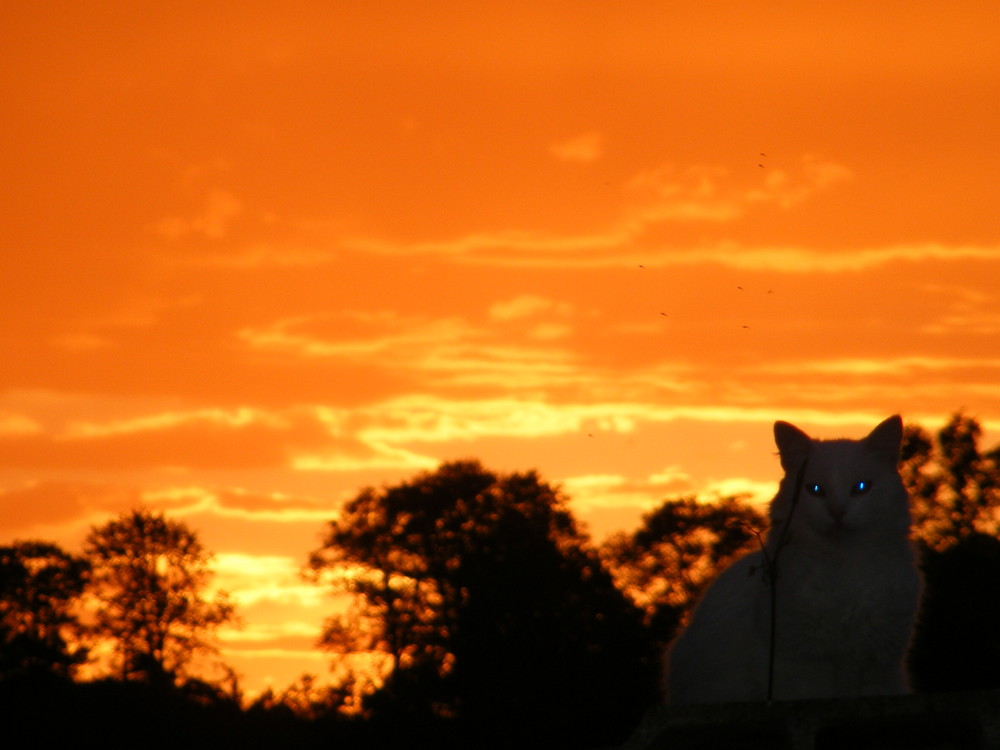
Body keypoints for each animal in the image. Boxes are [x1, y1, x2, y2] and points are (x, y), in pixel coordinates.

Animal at [664, 418, 920, 704]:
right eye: (815, 490)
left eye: (861, 488)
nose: (837, 512)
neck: (844, 564)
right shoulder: (799, 666)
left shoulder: (879, 667)